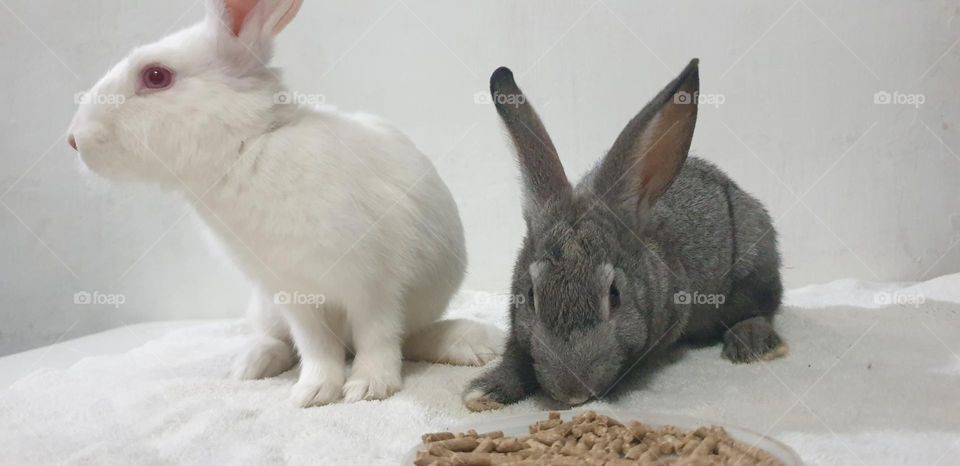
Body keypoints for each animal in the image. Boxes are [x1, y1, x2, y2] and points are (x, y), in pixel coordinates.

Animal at [66, 0, 502, 407]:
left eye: (156, 76)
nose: (73, 139)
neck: (249, 147)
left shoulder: (373, 286)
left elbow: (376, 337)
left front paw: (368, 387)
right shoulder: (294, 295)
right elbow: (316, 347)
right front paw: (313, 392)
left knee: (406, 337)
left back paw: (478, 344)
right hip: (265, 307)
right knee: (277, 339)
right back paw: (250, 365)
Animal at [463, 60, 786, 411]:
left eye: (615, 295)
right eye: (531, 296)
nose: (572, 393)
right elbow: (516, 355)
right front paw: (484, 393)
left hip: (753, 267)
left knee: (762, 307)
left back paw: (752, 343)